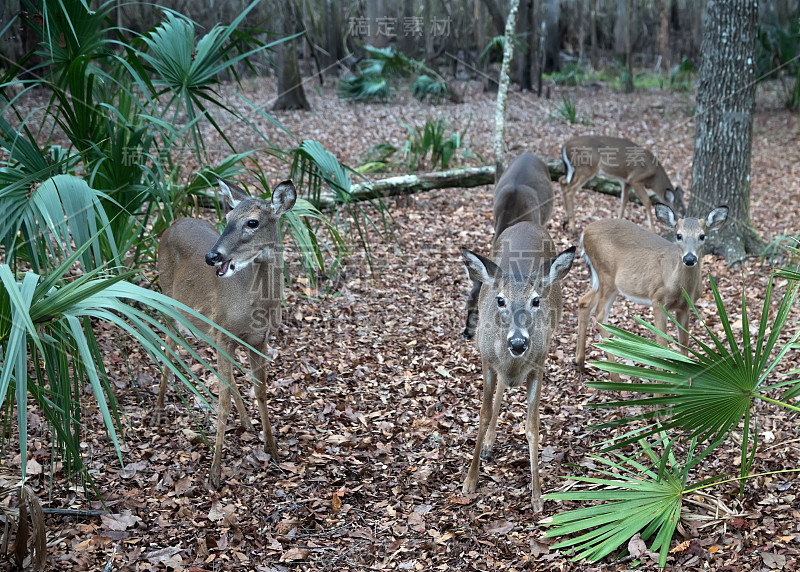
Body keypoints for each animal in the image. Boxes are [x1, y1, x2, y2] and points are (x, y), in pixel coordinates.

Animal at [153, 178, 296, 488]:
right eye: (227, 217)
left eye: (252, 222)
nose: (212, 256)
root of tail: (173, 222)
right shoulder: (224, 336)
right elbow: (222, 403)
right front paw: (215, 474)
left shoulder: (259, 339)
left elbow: (260, 390)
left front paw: (272, 448)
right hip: (168, 300)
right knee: (167, 348)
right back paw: (157, 411)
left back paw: (247, 423)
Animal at [576, 202, 732, 380]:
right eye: (679, 235)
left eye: (702, 236)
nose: (689, 258)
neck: (679, 286)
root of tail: (584, 232)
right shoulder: (657, 299)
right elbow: (661, 343)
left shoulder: (685, 306)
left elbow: (684, 343)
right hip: (607, 274)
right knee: (600, 314)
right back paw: (615, 376)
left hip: (604, 280)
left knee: (584, 302)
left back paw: (580, 363)